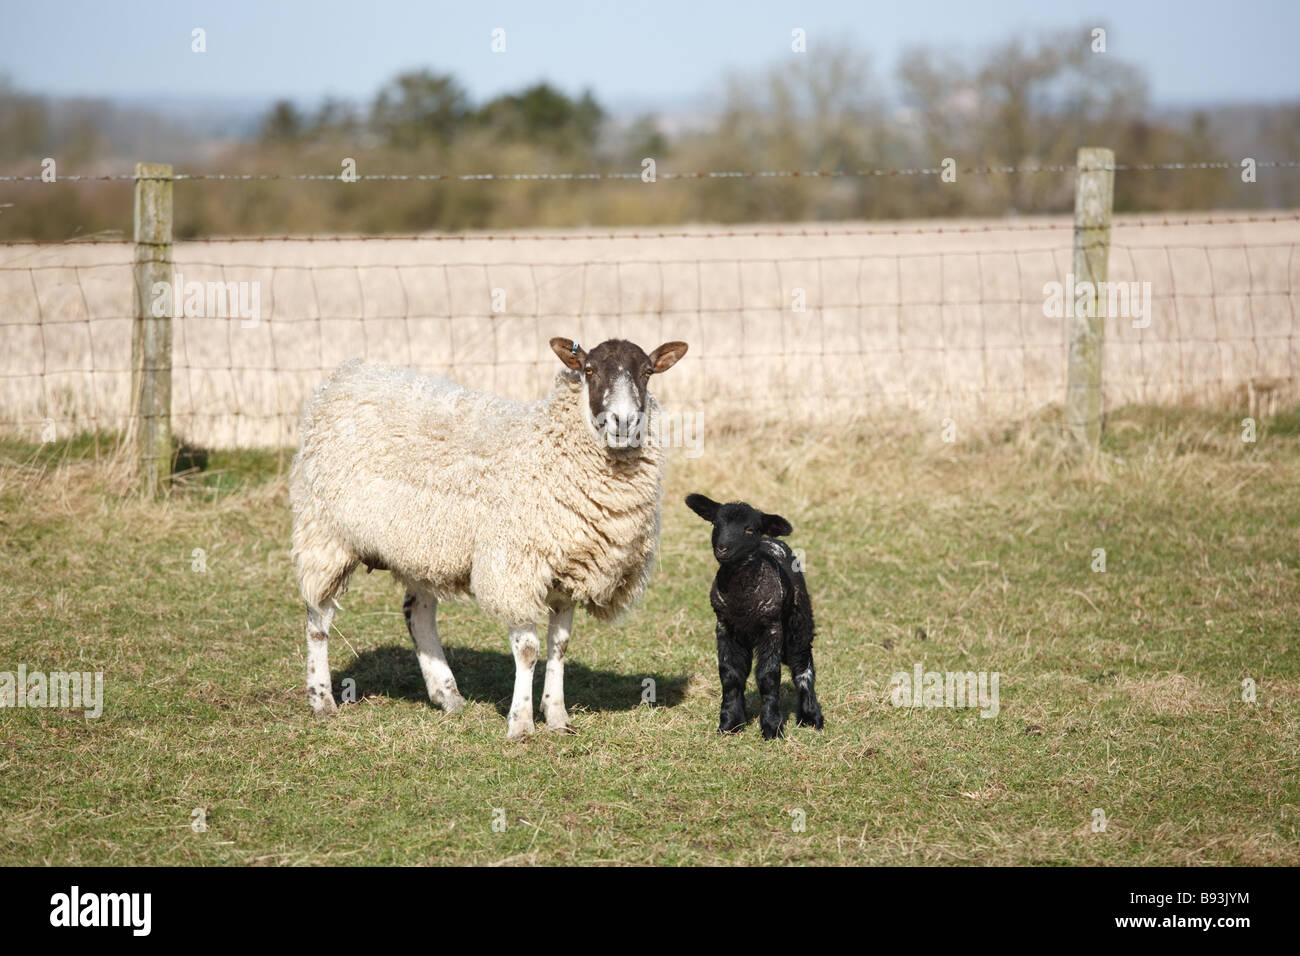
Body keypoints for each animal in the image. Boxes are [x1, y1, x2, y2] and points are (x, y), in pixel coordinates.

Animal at [290, 336, 689, 740]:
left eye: (647, 372)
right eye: (589, 370)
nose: (624, 422)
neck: (550, 448)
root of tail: (345, 374)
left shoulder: (567, 571)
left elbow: (559, 646)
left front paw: (557, 716)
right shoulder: (515, 567)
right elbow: (528, 650)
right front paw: (521, 724)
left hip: (423, 543)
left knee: (417, 612)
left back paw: (447, 694)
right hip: (325, 529)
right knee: (318, 615)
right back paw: (322, 699)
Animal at [685, 494, 824, 739]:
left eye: (749, 529)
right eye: (716, 524)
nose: (723, 549)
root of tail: (772, 541)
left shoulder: (771, 628)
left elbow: (768, 676)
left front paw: (772, 727)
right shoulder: (725, 627)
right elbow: (730, 675)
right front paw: (729, 723)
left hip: (798, 621)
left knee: (802, 664)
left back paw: (811, 717)